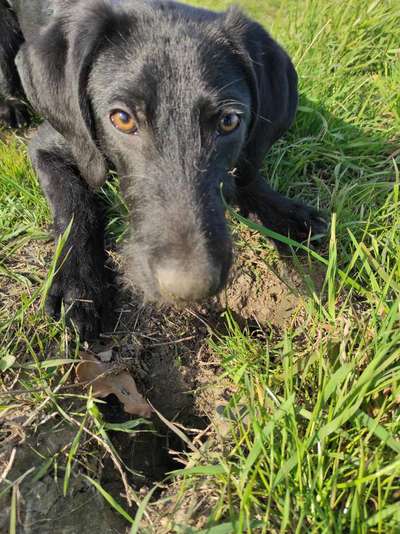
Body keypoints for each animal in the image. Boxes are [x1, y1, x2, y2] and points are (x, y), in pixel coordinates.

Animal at [0, 0, 324, 340]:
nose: (190, 290)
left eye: (229, 121)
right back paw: (10, 104)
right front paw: (79, 284)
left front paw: (285, 212)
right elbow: (76, 206)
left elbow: (246, 173)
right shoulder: (46, 147)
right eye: (122, 119)